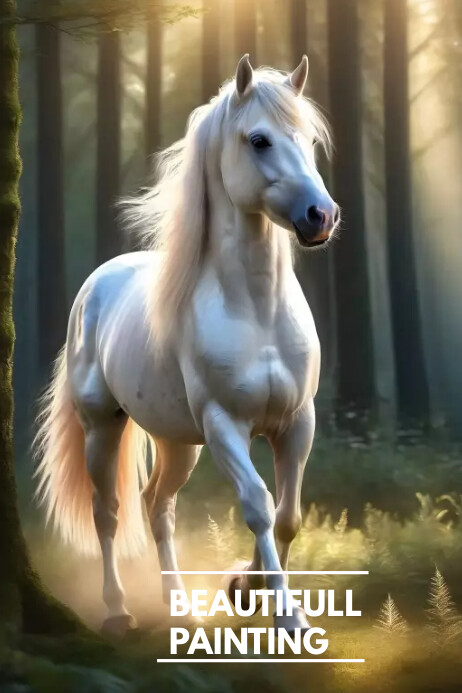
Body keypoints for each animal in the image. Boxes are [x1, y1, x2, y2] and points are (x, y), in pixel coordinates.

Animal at [34, 54, 339, 638]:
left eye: (311, 140)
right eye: (259, 140)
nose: (322, 216)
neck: (256, 311)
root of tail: (94, 287)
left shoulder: (298, 422)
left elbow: (288, 515)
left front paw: (245, 587)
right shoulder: (224, 425)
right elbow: (259, 504)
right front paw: (286, 617)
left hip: (178, 442)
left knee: (158, 506)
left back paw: (177, 602)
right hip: (103, 428)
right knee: (108, 512)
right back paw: (117, 610)